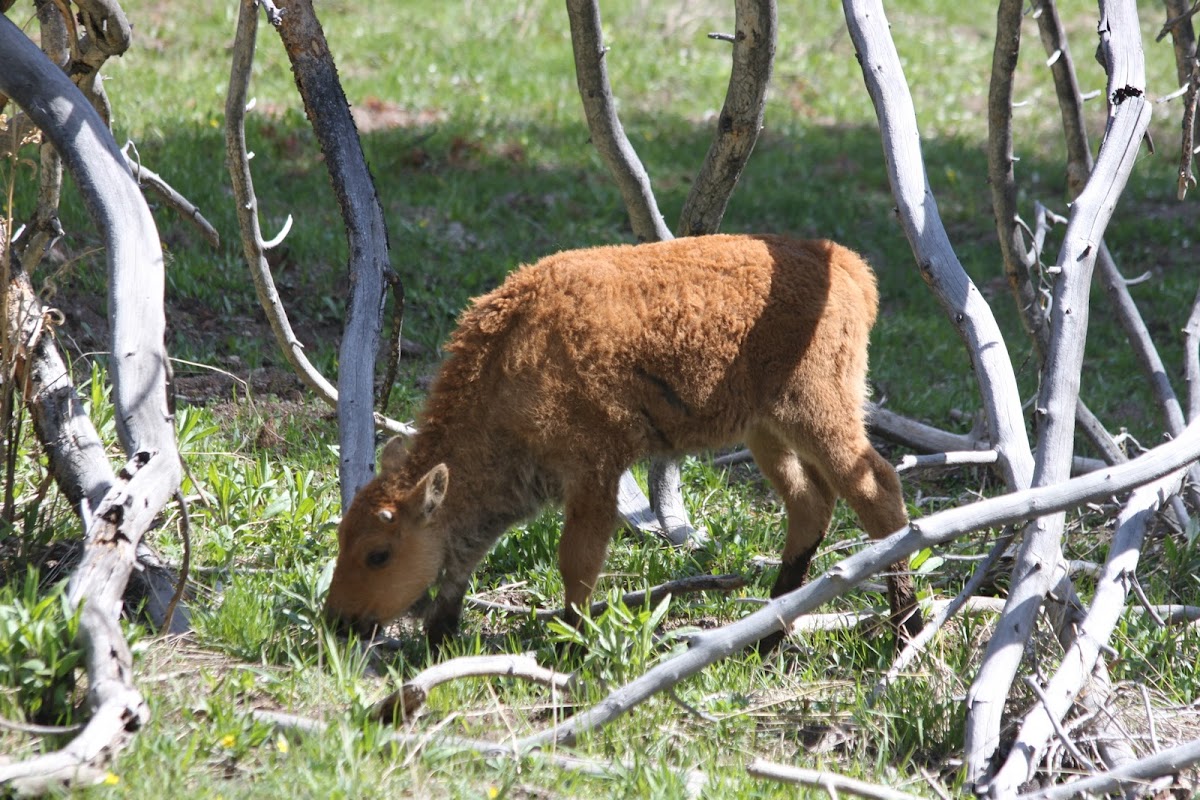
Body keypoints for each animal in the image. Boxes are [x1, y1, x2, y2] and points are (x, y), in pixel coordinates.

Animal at [319, 235, 916, 652]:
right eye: (344, 537)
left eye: (378, 553)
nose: (337, 622)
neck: (506, 363)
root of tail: (846, 265)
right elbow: (471, 553)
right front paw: (439, 636)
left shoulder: (593, 474)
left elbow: (577, 562)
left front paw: (573, 644)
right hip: (765, 430)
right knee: (809, 504)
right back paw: (768, 637)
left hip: (819, 413)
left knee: (877, 493)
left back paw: (902, 633)